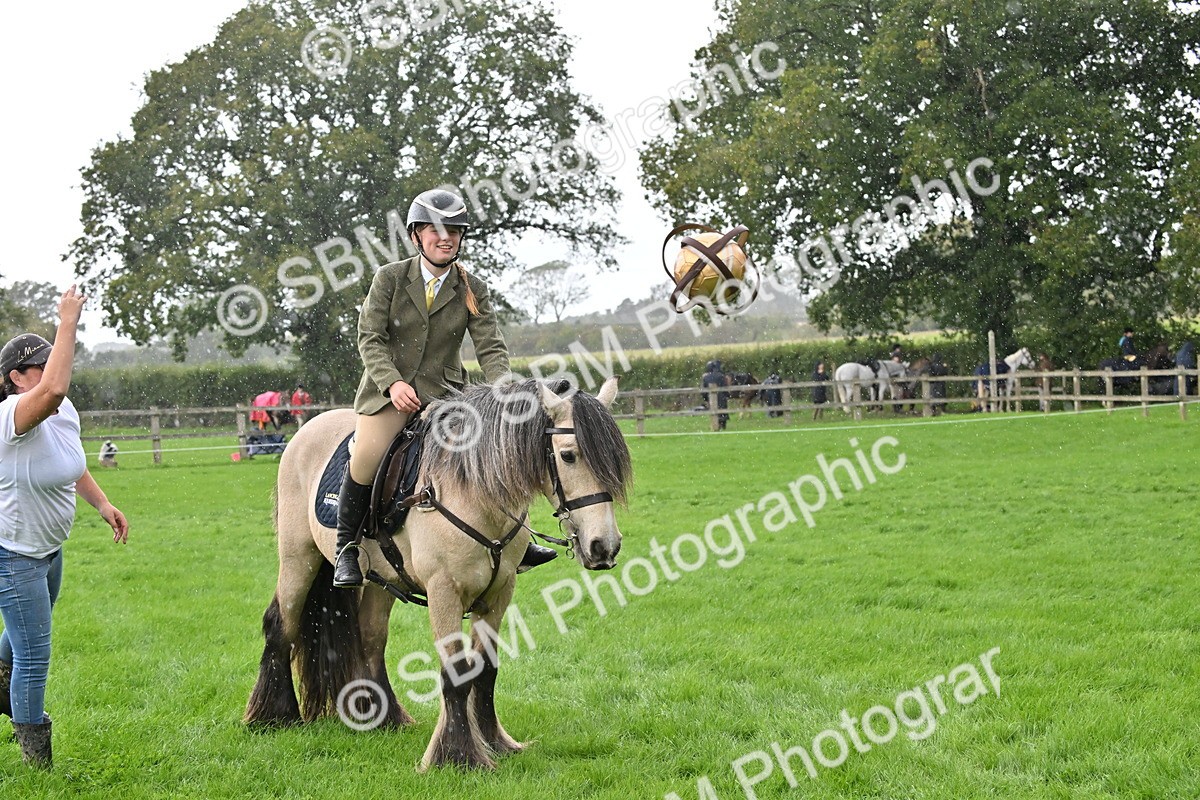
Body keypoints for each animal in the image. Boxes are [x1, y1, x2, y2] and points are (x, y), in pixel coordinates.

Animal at [244, 377, 632, 771]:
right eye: (568, 455)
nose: (604, 546)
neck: (474, 492)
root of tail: (308, 428)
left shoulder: (500, 592)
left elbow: (485, 671)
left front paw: (495, 742)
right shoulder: (445, 591)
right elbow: (456, 673)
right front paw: (458, 755)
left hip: (381, 579)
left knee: (371, 638)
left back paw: (383, 716)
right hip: (299, 558)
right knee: (281, 624)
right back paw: (274, 715)